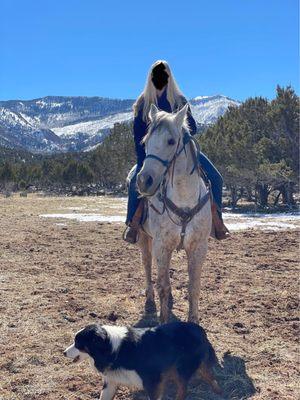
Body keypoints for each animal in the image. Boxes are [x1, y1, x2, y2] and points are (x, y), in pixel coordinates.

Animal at [63, 322, 223, 400]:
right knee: (209, 374)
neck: (113, 350)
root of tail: (200, 329)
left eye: (78, 343)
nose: (63, 353)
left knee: (184, 390)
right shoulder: (111, 382)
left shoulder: (152, 382)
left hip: (182, 368)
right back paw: (217, 391)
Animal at [135, 101, 212, 324]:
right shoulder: (162, 245)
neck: (183, 198)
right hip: (144, 237)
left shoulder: (198, 247)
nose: (144, 181)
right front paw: (163, 321)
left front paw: (194, 322)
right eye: (145, 141)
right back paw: (150, 302)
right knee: (147, 265)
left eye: (171, 141)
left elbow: (193, 287)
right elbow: (163, 285)